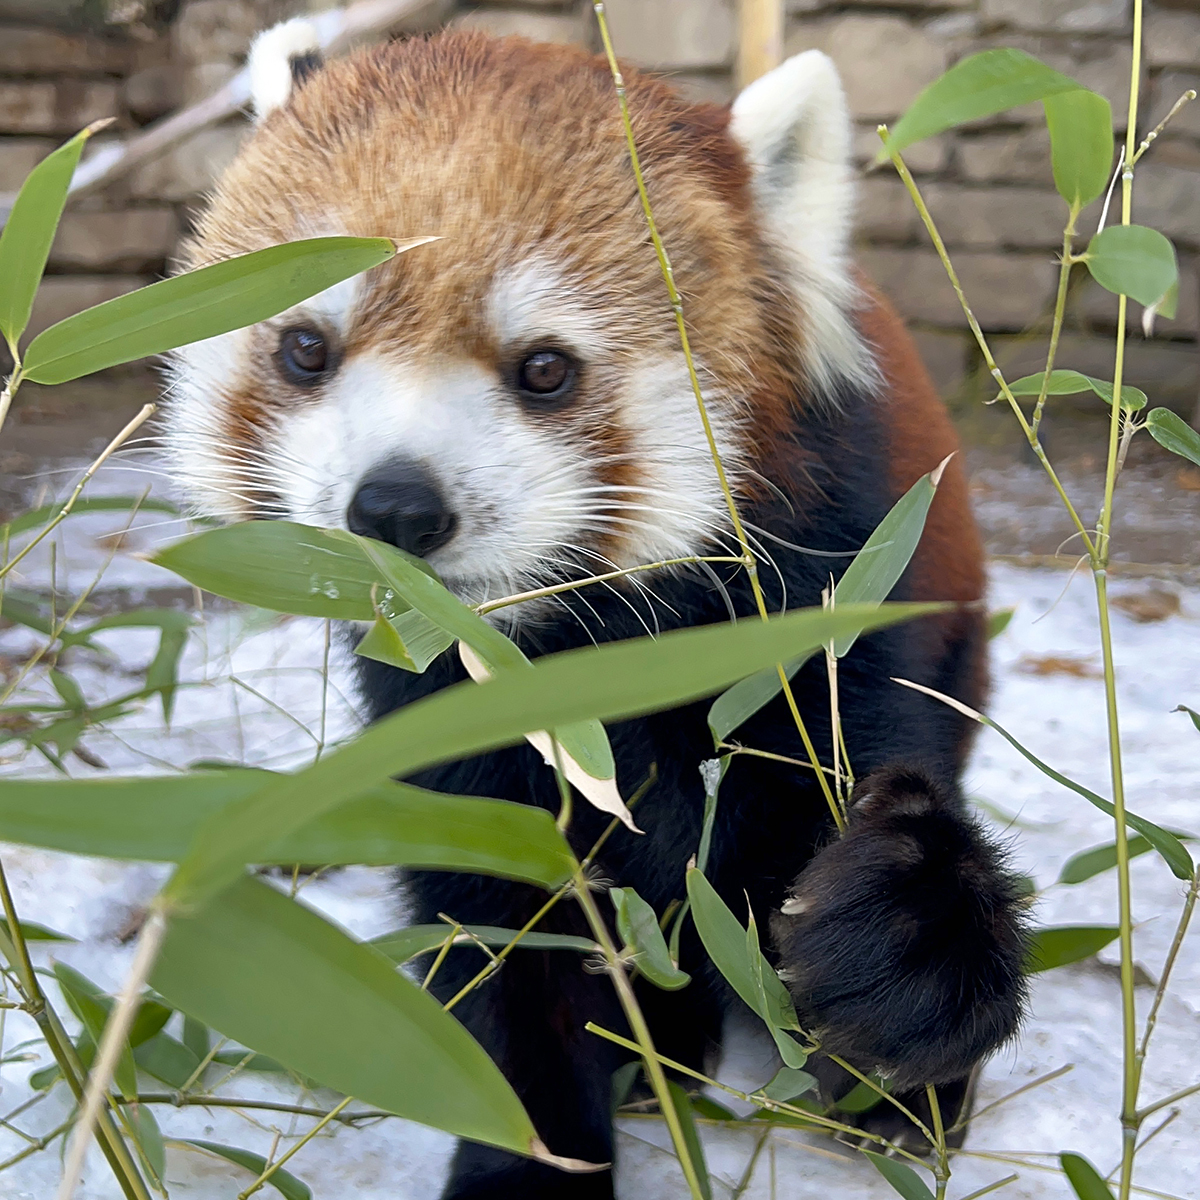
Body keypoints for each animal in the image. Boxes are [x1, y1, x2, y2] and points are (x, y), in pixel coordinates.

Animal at [164, 20, 1028, 1199]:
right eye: (306, 350)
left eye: (545, 370)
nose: (393, 507)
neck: (589, 664)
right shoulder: (445, 724)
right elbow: (509, 936)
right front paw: (533, 1155)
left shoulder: (838, 602)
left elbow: (860, 794)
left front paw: (904, 972)